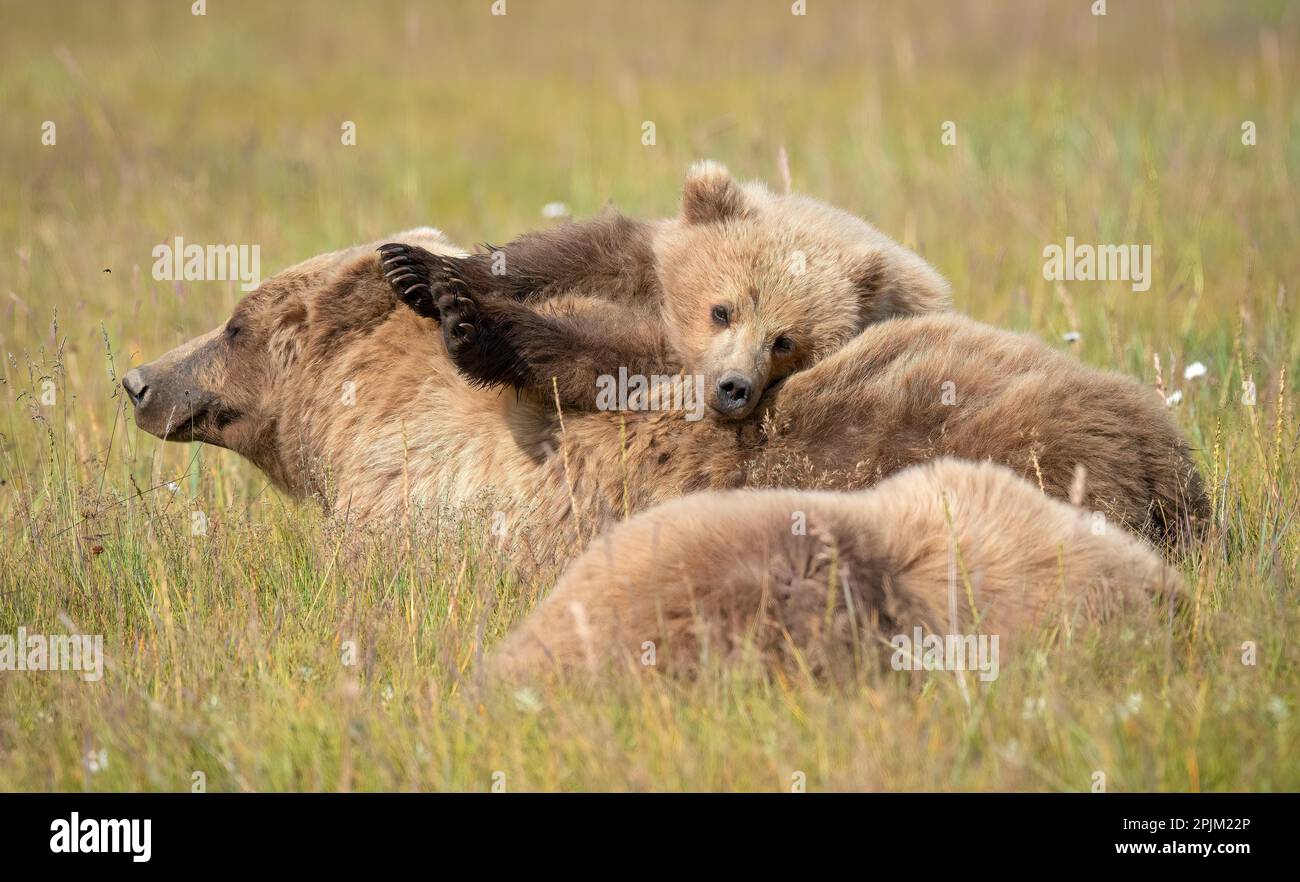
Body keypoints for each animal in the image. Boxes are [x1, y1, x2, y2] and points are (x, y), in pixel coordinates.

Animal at [377, 161, 951, 418]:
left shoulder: (668, 359)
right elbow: (565, 253)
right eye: (722, 310)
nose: (735, 387)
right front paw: (418, 271)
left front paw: (472, 321)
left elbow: (600, 357)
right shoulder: (644, 260)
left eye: (786, 341)